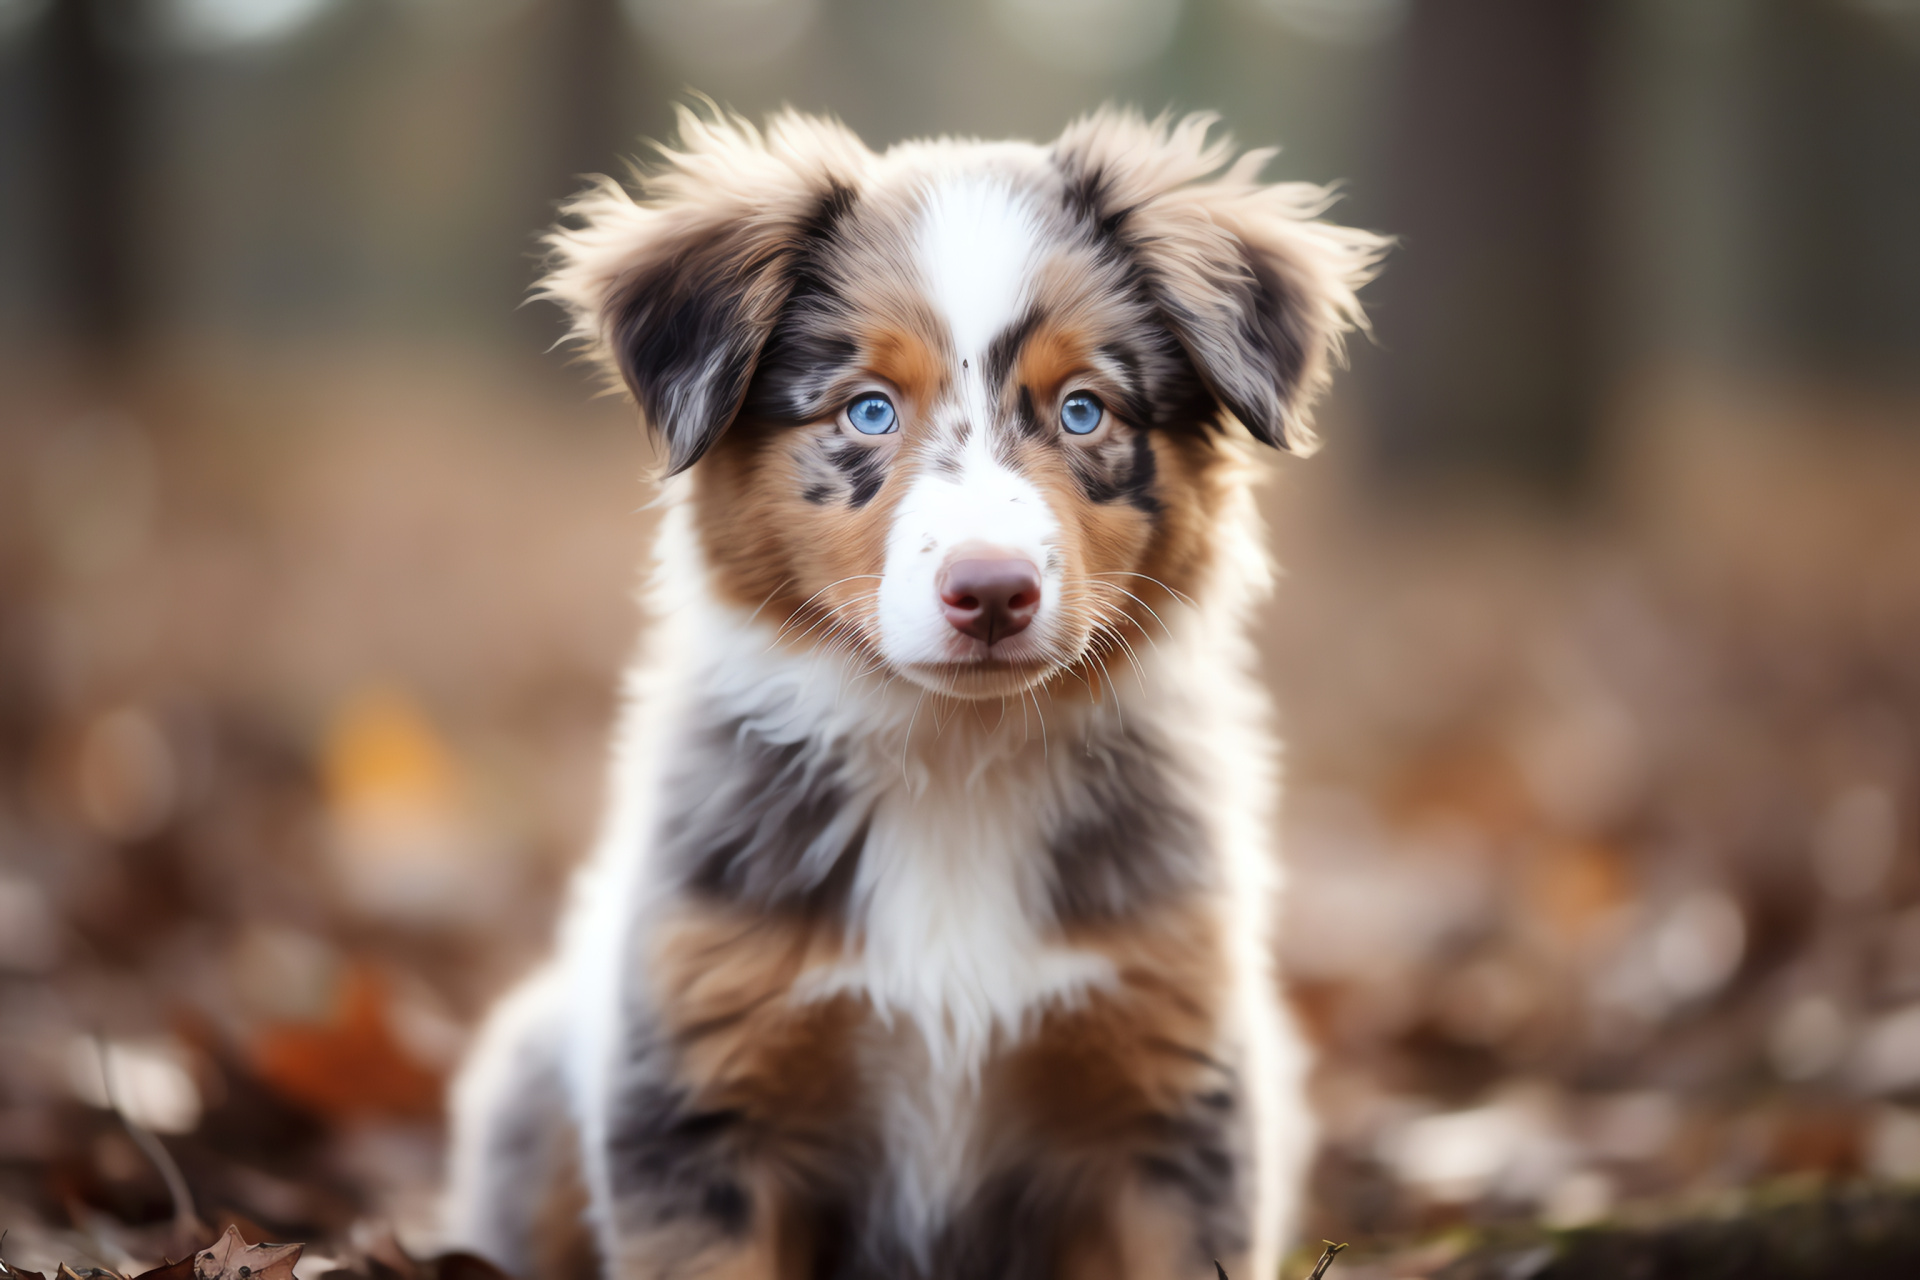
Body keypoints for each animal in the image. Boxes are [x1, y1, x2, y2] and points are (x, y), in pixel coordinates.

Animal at [439, 102, 1382, 1280]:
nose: (992, 591)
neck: (956, 759)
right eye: (870, 410)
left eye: (1084, 410)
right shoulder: (697, 1101)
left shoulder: (1173, 1099)